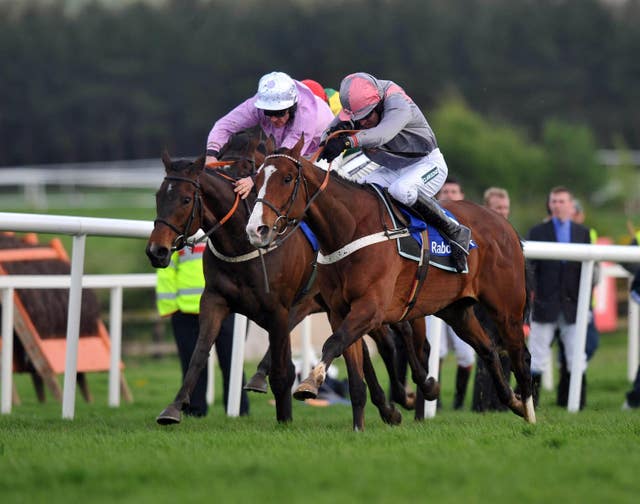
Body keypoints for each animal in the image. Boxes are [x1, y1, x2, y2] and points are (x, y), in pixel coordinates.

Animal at [145, 130, 416, 430]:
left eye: (184, 200)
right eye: (158, 196)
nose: (156, 251)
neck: (241, 245)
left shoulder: (281, 309)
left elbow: (281, 371)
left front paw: (283, 415)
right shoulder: (215, 301)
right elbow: (198, 354)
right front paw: (173, 408)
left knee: (391, 339)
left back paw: (410, 394)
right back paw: (388, 407)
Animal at [248, 136, 536, 424]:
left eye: (287, 178)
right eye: (257, 178)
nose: (256, 229)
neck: (351, 228)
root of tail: (506, 225)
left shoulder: (370, 307)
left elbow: (336, 343)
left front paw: (310, 383)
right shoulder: (339, 311)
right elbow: (354, 371)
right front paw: (362, 424)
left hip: (507, 308)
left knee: (521, 355)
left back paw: (530, 414)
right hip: (456, 310)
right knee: (488, 349)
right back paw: (512, 401)